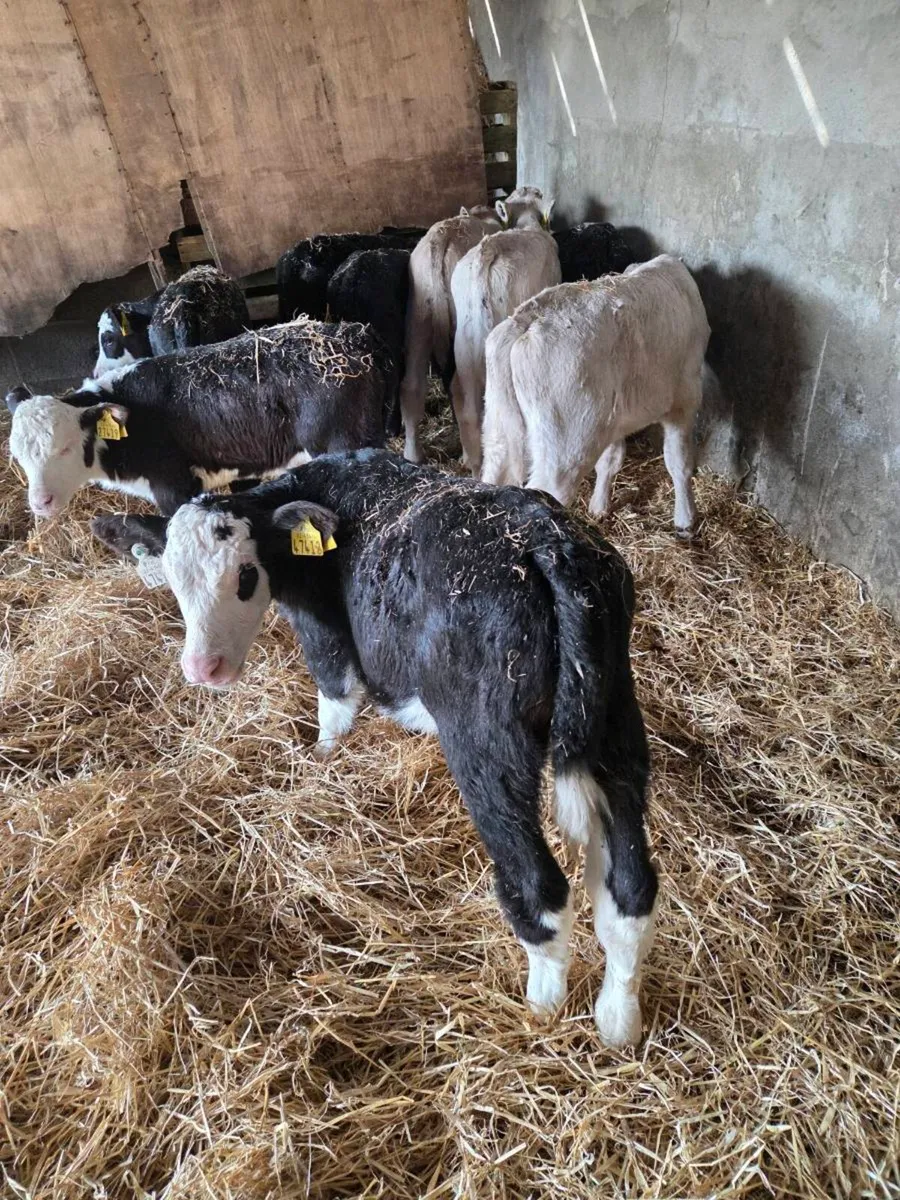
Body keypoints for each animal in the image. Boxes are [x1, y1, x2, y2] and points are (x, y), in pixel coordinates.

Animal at [92, 449, 659, 1047]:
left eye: (246, 575)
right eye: (176, 580)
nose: (204, 669)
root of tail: (550, 546)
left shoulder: (323, 630)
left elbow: (335, 699)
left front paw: (321, 759)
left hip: (486, 745)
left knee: (539, 888)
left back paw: (540, 1009)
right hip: (616, 720)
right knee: (630, 889)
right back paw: (618, 1021)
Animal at [481, 255, 711, 532]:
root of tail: (526, 320)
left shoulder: (615, 417)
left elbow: (610, 460)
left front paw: (599, 507)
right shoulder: (685, 398)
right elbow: (680, 461)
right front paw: (686, 520)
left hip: (498, 429)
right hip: (567, 444)